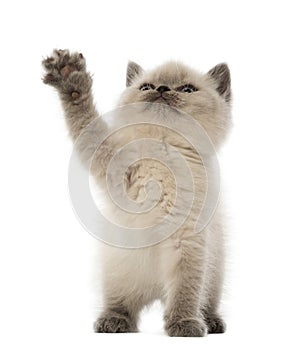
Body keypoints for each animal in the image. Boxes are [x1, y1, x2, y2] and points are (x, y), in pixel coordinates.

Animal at [42, 49, 231, 336]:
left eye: (187, 89)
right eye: (146, 87)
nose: (161, 90)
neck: (163, 148)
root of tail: (156, 292)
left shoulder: (187, 239)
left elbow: (186, 290)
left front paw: (184, 323)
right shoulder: (111, 161)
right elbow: (86, 122)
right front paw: (70, 78)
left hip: (214, 270)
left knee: (204, 299)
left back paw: (210, 321)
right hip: (118, 271)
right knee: (121, 303)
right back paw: (113, 321)